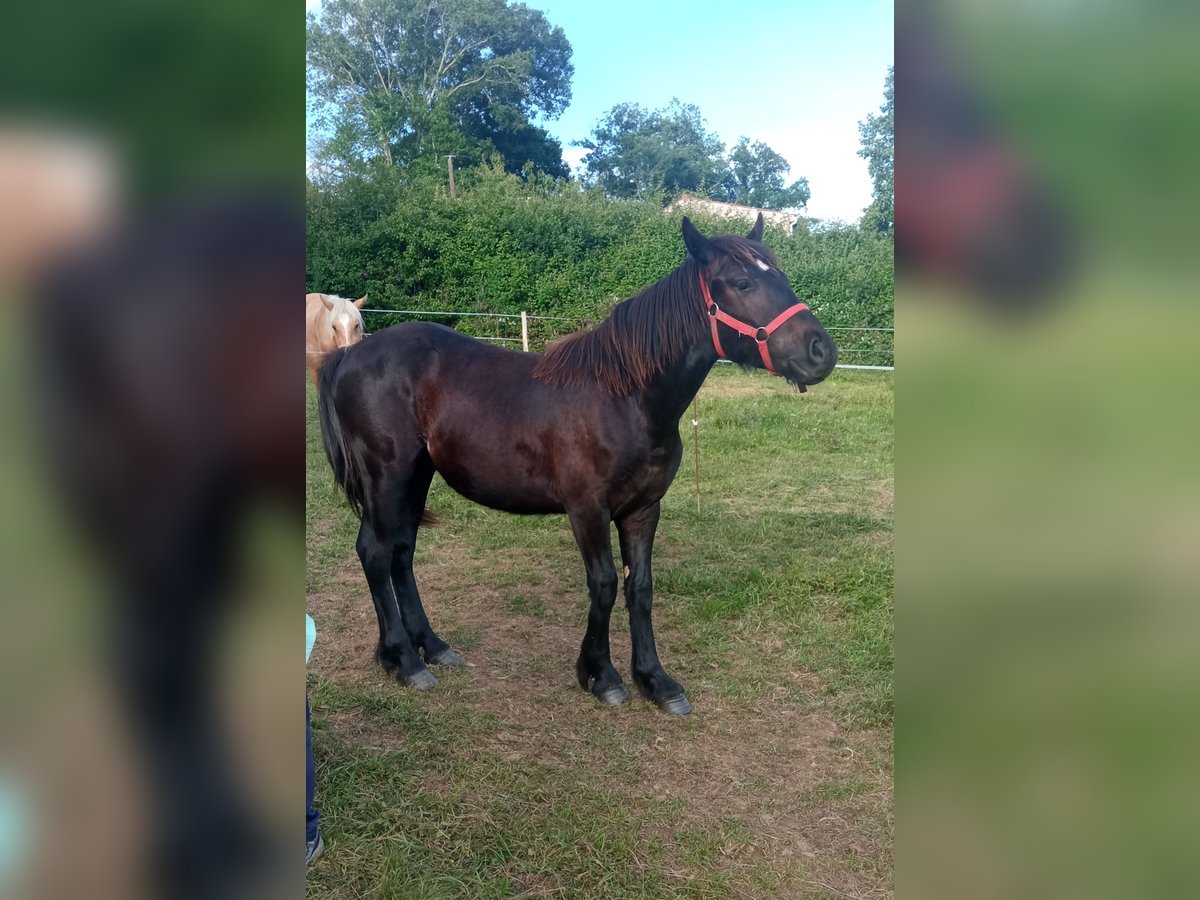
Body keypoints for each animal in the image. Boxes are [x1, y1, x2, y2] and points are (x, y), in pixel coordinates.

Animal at [314, 214, 835, 715]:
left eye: (782, 276)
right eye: (743, 283)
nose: (821, 351)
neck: (625, 398)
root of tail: (350, 354)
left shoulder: (644, 509)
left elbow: (640, 589)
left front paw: (656, 681)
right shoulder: (587, 509)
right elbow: (603, 584)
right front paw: (601, 676)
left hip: (416, 476)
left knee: (401, 552)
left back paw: (432, 646)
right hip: (387, 477)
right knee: (375, 552)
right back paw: (403, 660)